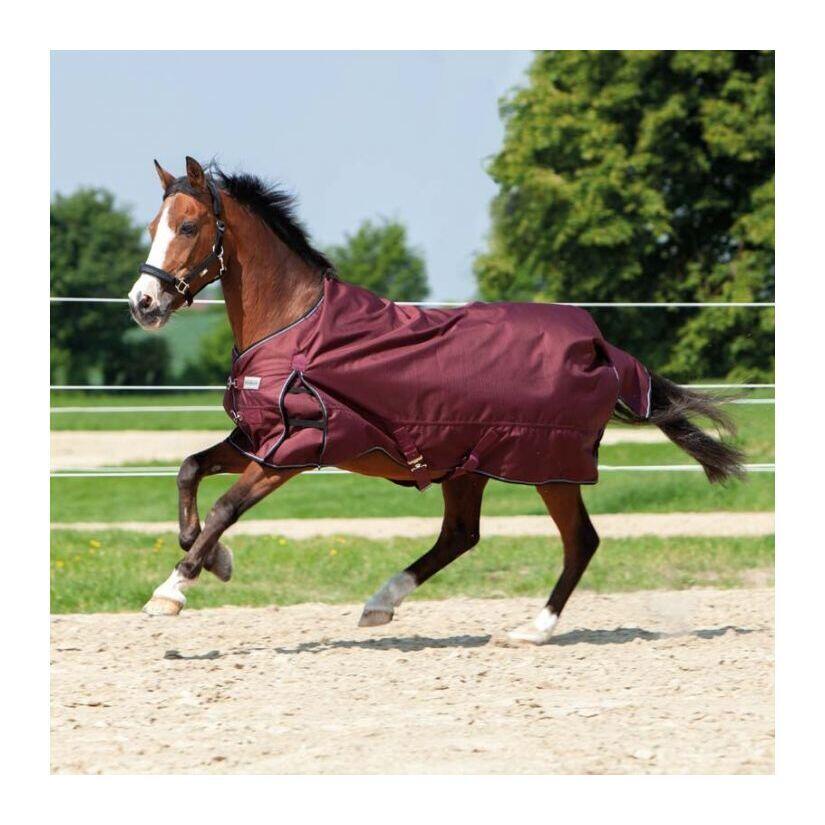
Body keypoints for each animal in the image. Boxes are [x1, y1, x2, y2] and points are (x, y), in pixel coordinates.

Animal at [127, 156, 745, 644]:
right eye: (154, 225)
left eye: (188, 225)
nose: (143, 302)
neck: (293, 325)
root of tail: (600, 346)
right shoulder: (256, 440)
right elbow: (189, 470)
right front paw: (216, 560)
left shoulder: (295, 448)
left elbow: (225, 507)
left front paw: (172, 589)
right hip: (467, 466)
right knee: (461, 536)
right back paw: (382, 603)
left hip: (548, 466)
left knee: (579, 541)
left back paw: (532, 629)